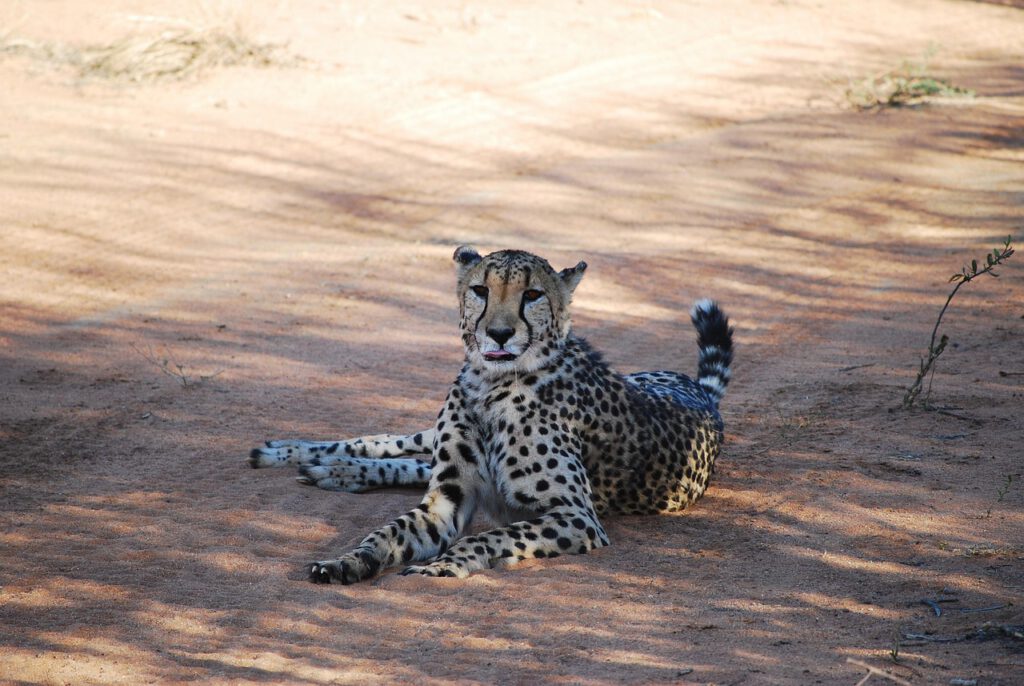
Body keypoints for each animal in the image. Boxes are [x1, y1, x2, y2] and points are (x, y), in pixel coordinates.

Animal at [248, 246, 733, 584]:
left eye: (533, 295)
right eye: (480, 290)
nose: (499, 332)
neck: (492, 383)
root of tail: (703, 395)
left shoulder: (577, 517)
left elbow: (491, 535)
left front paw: (440, 566)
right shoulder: (446, 499)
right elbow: (386, 533)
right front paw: (347, 562)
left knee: (410, 464)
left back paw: (336, 470)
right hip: (427, 439)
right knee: (389, 444)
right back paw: (300, 456)